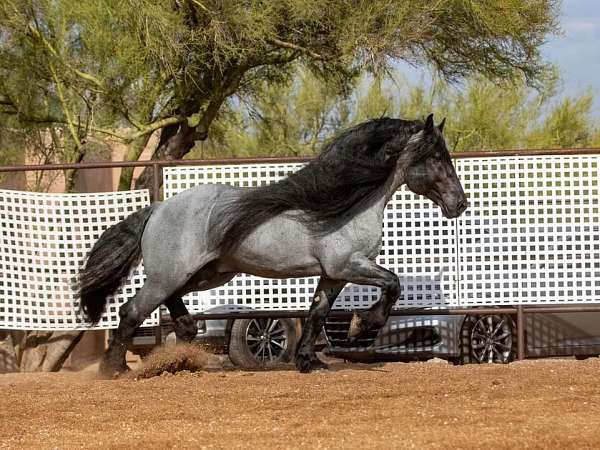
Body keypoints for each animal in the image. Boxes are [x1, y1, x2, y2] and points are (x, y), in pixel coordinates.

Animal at [76, 113, 468, 376]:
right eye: (436, 157)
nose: (460, 204)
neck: (349, 204)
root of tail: (158, 208)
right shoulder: (349, 265)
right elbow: (393, 283)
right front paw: (361, 324)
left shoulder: (332, 275)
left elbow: (317, 313)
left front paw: (309, 361)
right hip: (172, 274)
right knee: (131, 310)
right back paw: (117, 371)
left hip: (206, 273)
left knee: (169, 302)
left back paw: (185, 339)